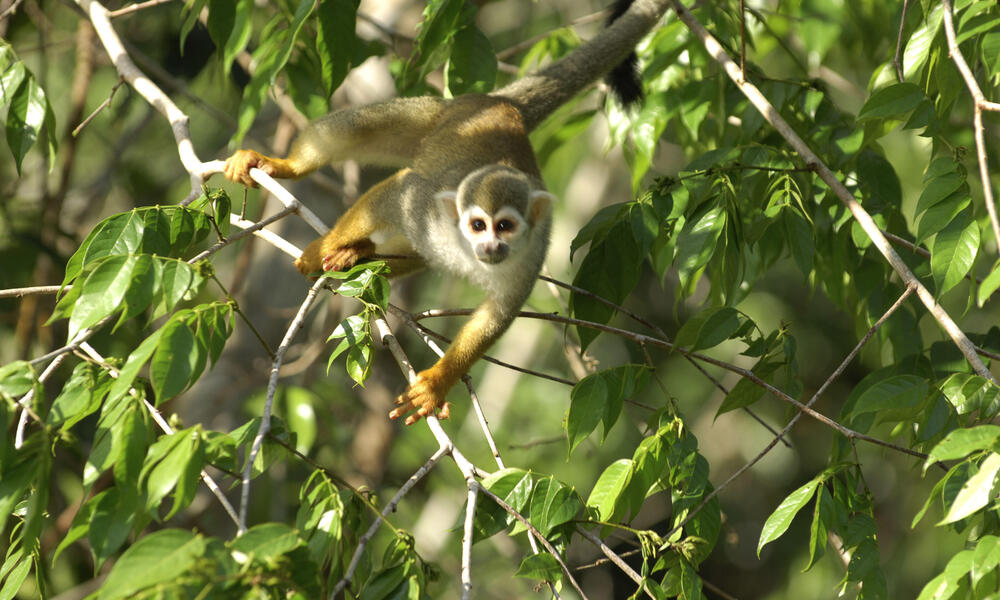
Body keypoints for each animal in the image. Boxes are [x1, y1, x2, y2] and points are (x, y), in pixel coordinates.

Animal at [221, 0, 672, 424]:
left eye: (506, 227)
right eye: (479, 224)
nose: (491, 246)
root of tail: (503, 106)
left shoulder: (534, 251)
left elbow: (497, 314)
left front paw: (438, 382)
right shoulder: (424, 207)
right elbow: (397, 192)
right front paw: (321, 249)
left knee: (418, 252)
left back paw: (358, 253)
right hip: (437, 114)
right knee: (356, 132)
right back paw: (286, 168)